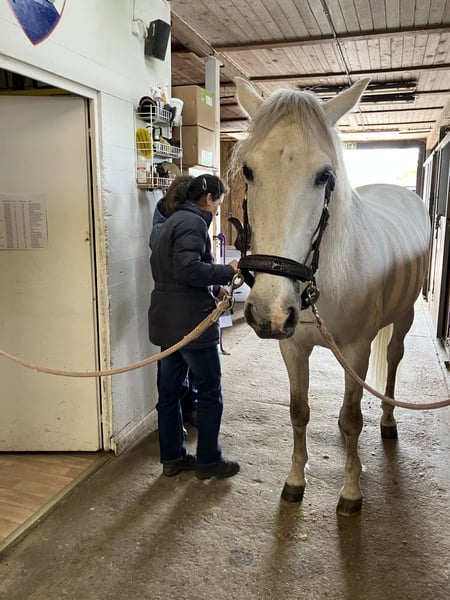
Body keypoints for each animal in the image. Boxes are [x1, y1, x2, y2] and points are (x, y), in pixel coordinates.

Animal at [230, 77, 431, 516]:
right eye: (249, 170)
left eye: (324, 175)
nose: (269, 312)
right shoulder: (293, 348)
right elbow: (299, 412)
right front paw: (295, 481)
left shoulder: (356, 348)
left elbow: (353, 418)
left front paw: (351, 492)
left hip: (404, 317)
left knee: (392, 362)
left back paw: (388, 421)